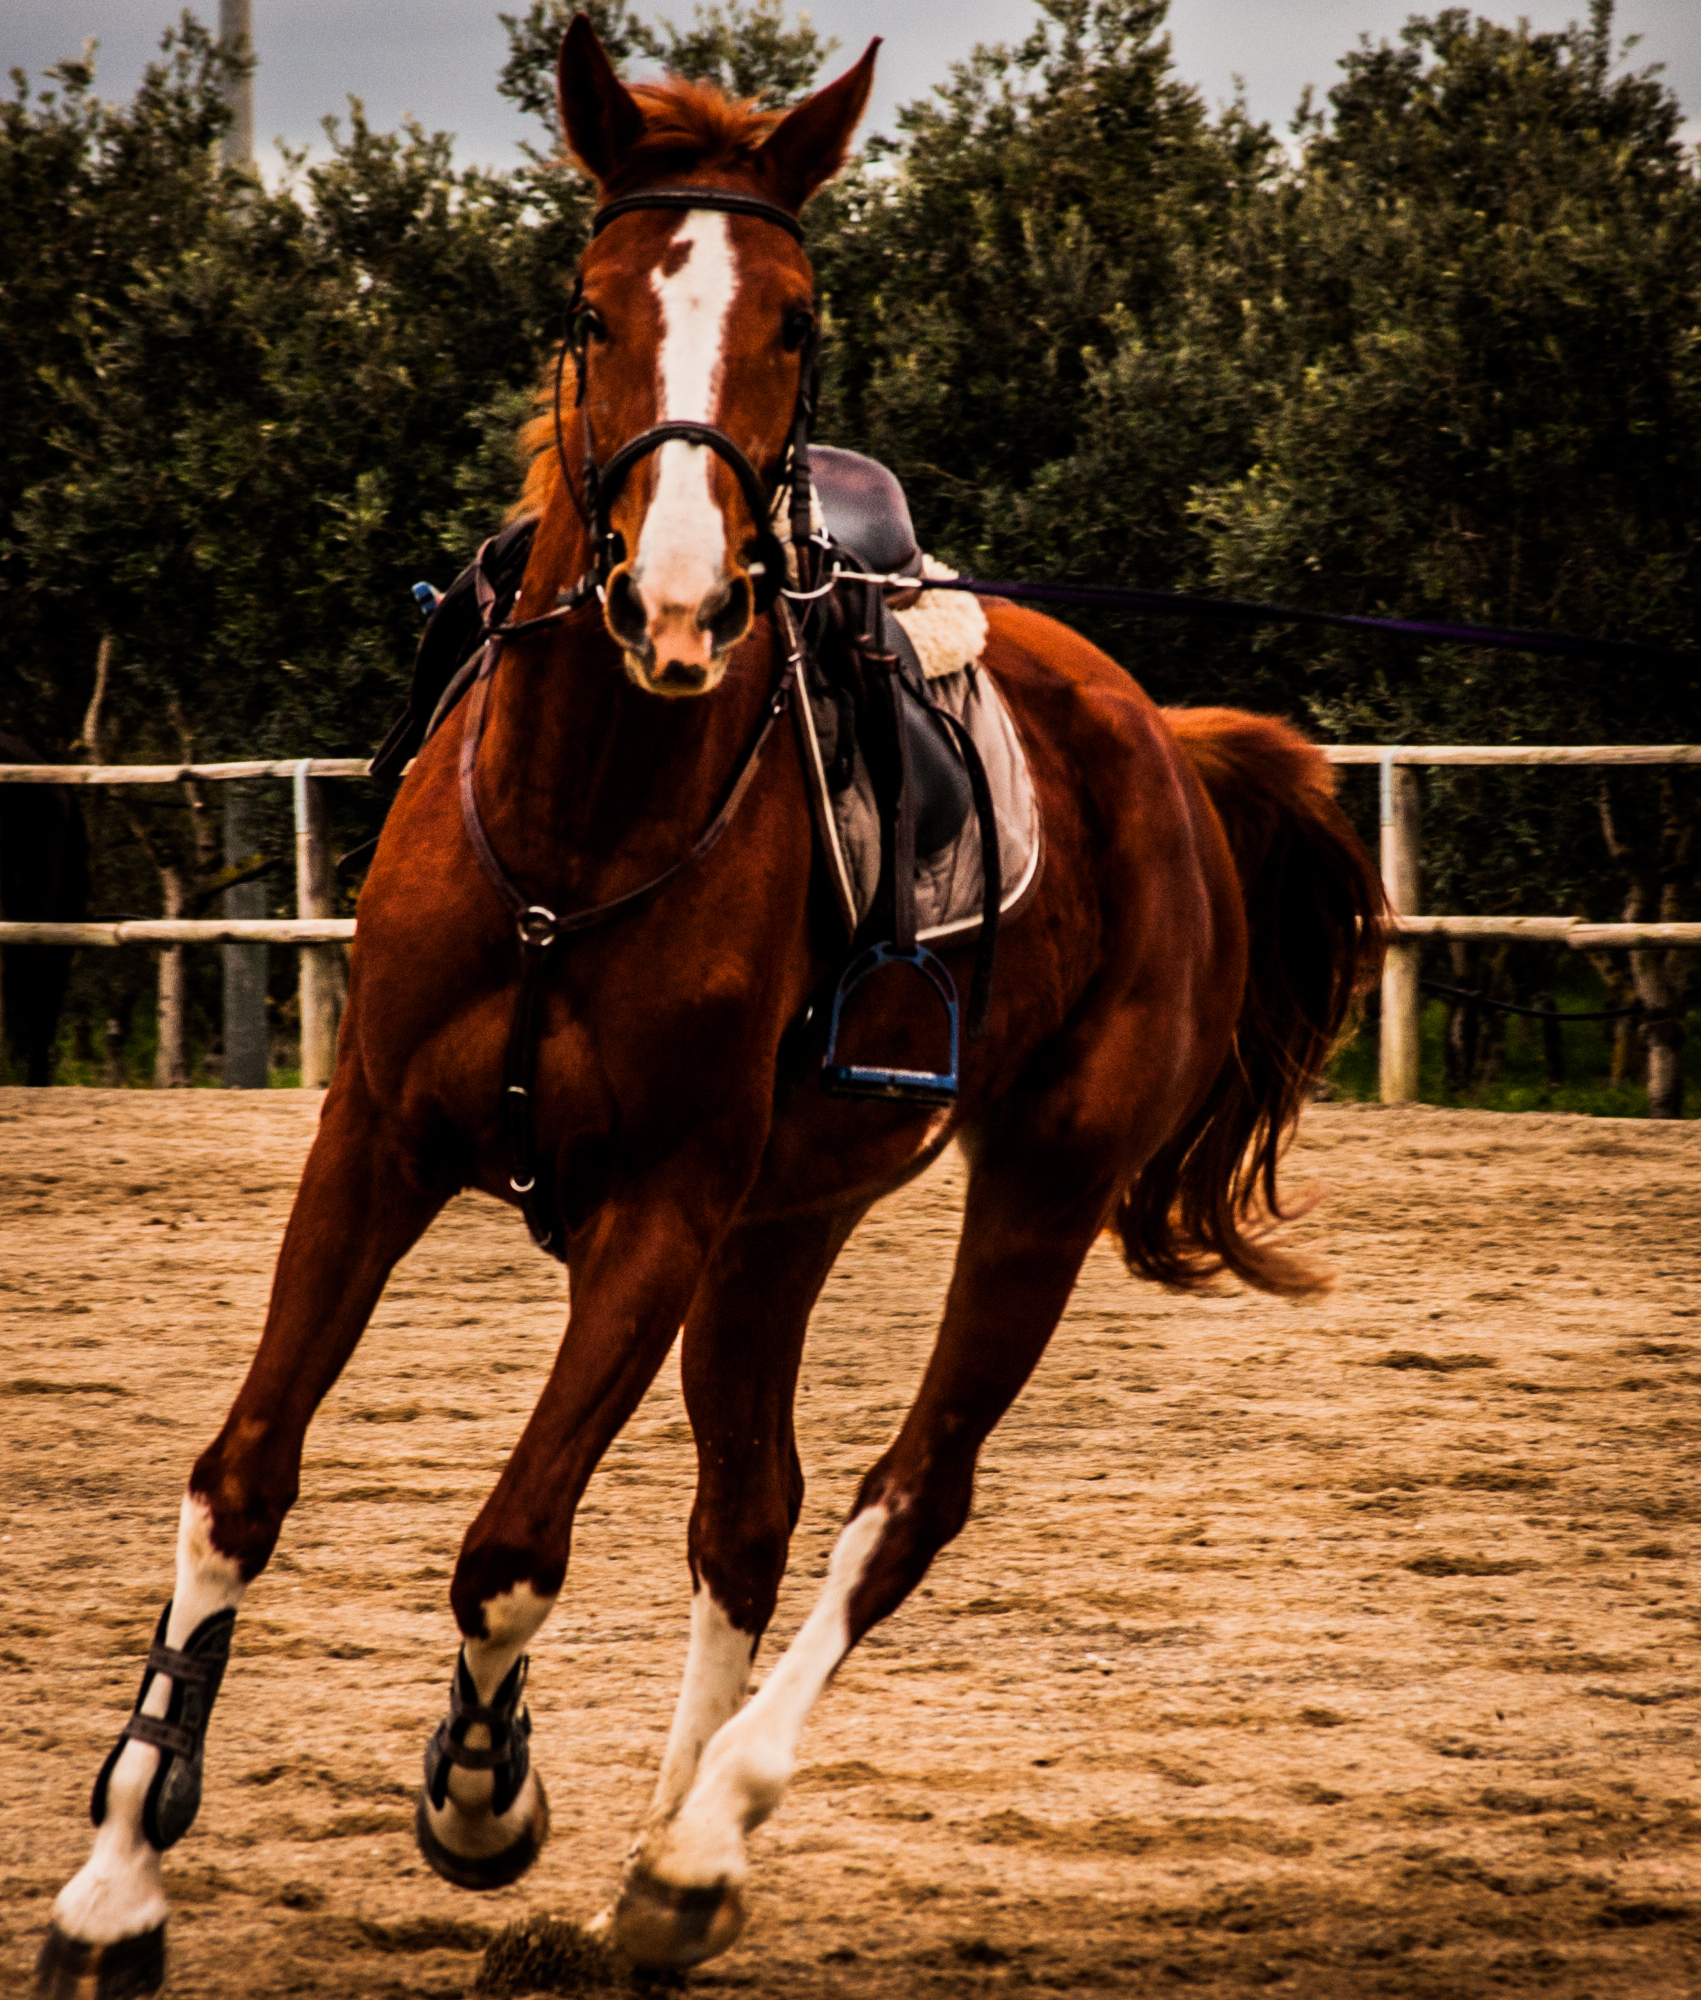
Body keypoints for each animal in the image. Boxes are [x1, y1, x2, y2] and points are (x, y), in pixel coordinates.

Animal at [35, 18, 1384, 1994]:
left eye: (798, 318)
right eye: (589, 310)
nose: (676, 605)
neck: (580, 829)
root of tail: (1161, 736)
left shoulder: (655, 1215)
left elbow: (513, 1543)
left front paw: (485, 1792)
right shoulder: (375, 1147)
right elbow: (243, 1480)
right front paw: (119, 1879)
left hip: (1036, 1186)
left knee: (903, 1501)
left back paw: (694, 1848)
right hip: (785, 1226)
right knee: (750, 1515)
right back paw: (639, 1894)